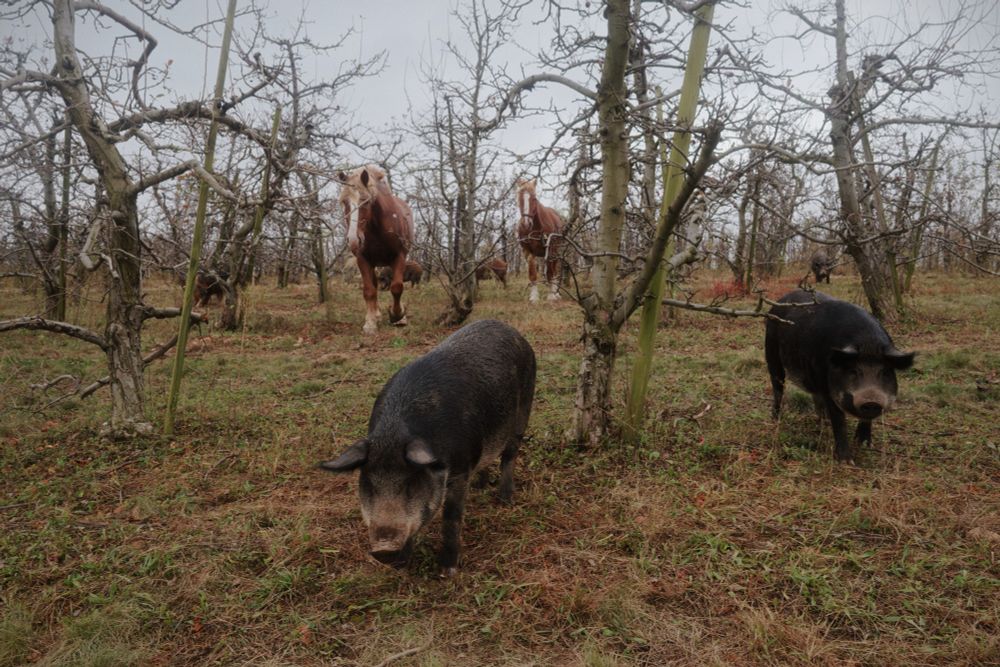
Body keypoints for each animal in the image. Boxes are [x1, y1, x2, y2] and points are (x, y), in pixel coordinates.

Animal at [319, 319, 536, 574]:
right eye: (368, 484)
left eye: (411, 484)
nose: (383, 549)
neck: (394, 432)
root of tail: (513, 332)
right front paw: (402, 566)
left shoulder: (460, 469)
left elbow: (451, 517)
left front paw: (446, 571)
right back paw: (480, 488)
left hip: (524, 410)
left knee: (509, 455)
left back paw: (505, 500)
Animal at [337, 165, 414, 334]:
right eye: (344, 202)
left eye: (365, 202)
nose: (353, 240)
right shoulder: (363, 259)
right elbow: (369, 290)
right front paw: (371, 323)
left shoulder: (399, 256)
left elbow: (397, 287)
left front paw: (397, 315)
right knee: (374, 285)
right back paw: (376, 315)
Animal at [765, 290, 914, 463]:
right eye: (853, 371)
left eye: (885, 372)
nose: (871, 400)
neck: (868, 342)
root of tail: (780, 301)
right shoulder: (829, 388)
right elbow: (839, 421)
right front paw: (846, 461)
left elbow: (865, 419)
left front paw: (865, 445)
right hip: (772, 353)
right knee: (778, 387)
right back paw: (776, 418)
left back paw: (823, 422)